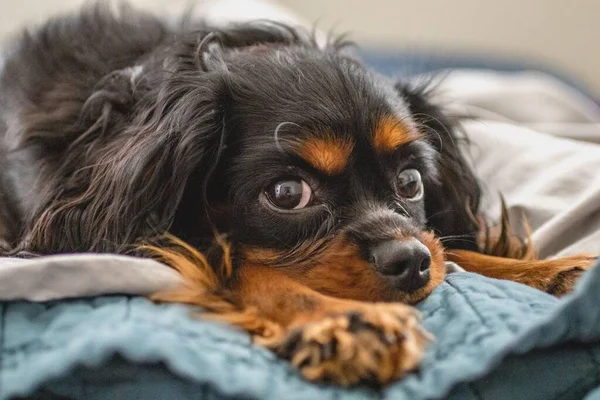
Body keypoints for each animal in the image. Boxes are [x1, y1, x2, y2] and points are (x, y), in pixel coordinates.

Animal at [0, 4, 596, 388]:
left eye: (410, 183)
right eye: (287, 194)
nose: (409, 263)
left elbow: (451, 248)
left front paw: (553, 271)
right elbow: (250, 270)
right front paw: (345, 323)